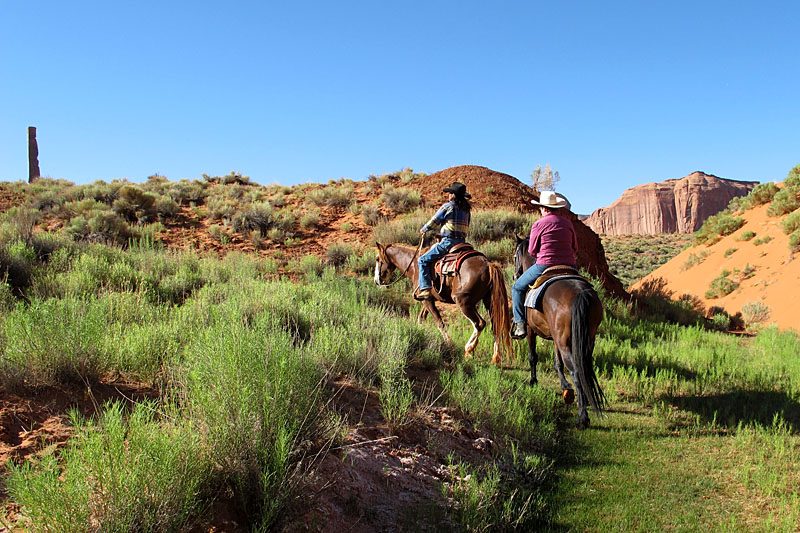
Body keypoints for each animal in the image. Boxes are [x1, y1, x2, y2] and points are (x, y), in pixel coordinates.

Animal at [376, 242, 512, 364]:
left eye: (377, 259)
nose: (376, 281)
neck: (414, 266)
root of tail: (488, 265)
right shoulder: (427, 299)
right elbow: (421, 318)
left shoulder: (427, 300)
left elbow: (439, 323)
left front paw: (449, 344)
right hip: (489, 302)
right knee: (496, 325)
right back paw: (495, 358)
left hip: (463, 302)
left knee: (479, 323)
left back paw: (468, 349)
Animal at [512, 237, 608, 428]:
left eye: (515, 256)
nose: (515, 275)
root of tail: (580, 292)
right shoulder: (556, 338)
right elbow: (558, 363)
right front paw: (566, 389)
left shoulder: (531, 330)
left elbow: (533, 357)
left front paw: (533, 381)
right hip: (585, 339)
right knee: (584, 367)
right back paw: (586, 400)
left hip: (565, 341)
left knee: (576, 371)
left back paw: (582, 418)